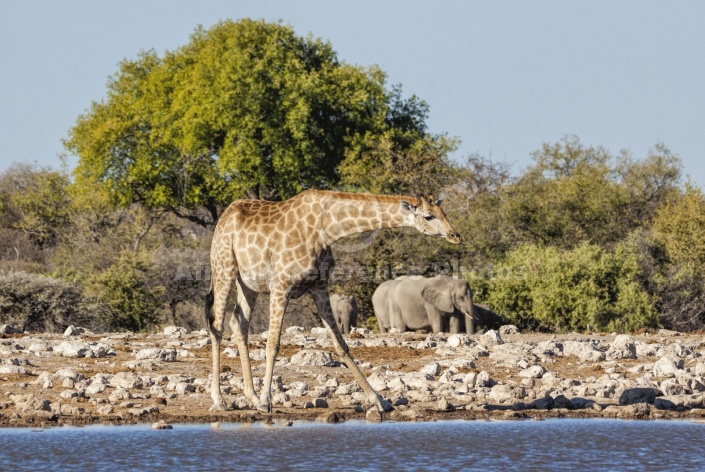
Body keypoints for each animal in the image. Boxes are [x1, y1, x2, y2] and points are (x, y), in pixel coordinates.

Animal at [204, 189, 462, 412]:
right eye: (428, 216)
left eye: (444, 213)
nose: (455, 236)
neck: (325, 228)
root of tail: (224, 217)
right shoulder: (281, 285)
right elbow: (273, 344)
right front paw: (267, 401)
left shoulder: (319, 286)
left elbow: (341, 345)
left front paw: (379, 400)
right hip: (223, 269)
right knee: (217, 325)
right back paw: (219, 400)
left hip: (248, 283)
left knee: (238, 323)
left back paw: (251, 396)